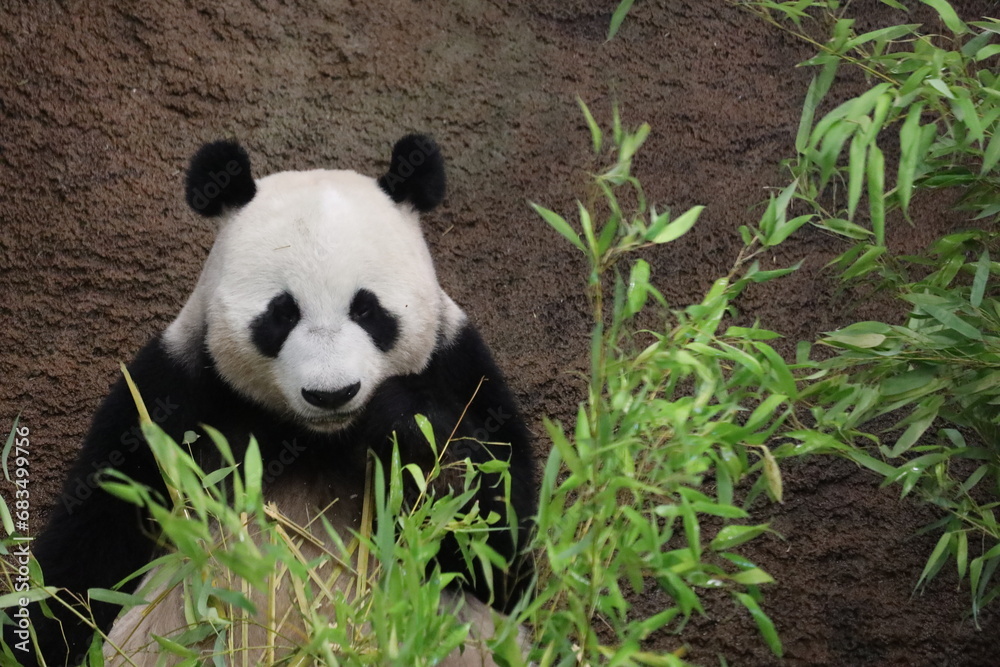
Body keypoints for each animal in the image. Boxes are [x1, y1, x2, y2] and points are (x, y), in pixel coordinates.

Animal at [4, 134, 537, 666]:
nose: (331, 393)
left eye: (367, 309)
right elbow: (92, 547)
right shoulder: (169, 398)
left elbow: (496, 548)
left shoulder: (463, 372)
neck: (316, 437)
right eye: (282, 314)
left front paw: (405, 423)